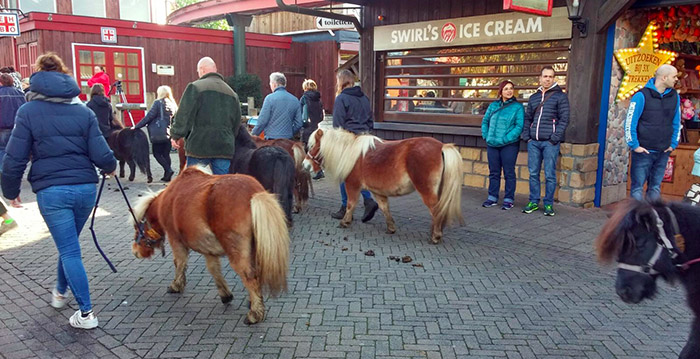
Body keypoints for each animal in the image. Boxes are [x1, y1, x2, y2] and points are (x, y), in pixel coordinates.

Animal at [131, 167, 290, 324]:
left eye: (137, 227)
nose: (135, 251)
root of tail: (254, 194)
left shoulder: (175, 239)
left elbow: (179, 263)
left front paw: (176, 285)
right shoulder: (208, 249)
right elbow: (214, 269)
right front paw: (225, 294)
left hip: (237, 253)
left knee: (250, 277)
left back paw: (254, 314)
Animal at [302, 128, 462, 243]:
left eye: (313, 146)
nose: (305, 165)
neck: (350, 153)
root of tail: (441, 146)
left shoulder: (352, 185)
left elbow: (350, 204)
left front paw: (345, 222)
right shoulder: (377, 191)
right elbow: (384, 208)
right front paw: (391, 227)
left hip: (426, 191)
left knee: (435, 210)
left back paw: (436, 236)